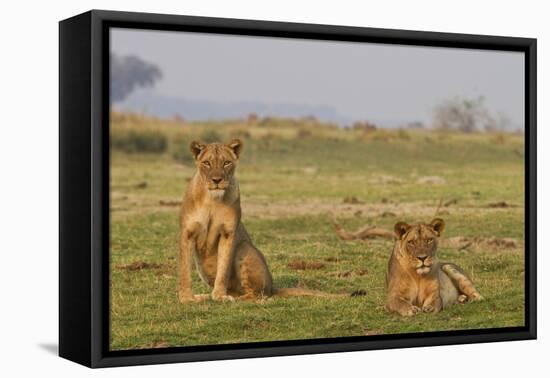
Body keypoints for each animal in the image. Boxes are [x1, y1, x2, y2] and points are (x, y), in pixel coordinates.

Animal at [179, 139, 356, 302]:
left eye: (226, 163)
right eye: (206, 163)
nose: (217, 180)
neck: (212, 200)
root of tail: (273, 286)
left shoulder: (228, 234)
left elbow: (223, 269)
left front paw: (219, 296)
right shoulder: (187, 233)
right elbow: (185, 269)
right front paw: (187, 298)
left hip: (244, 248)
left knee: (258, 294)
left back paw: (233, 299)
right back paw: (204, 296)